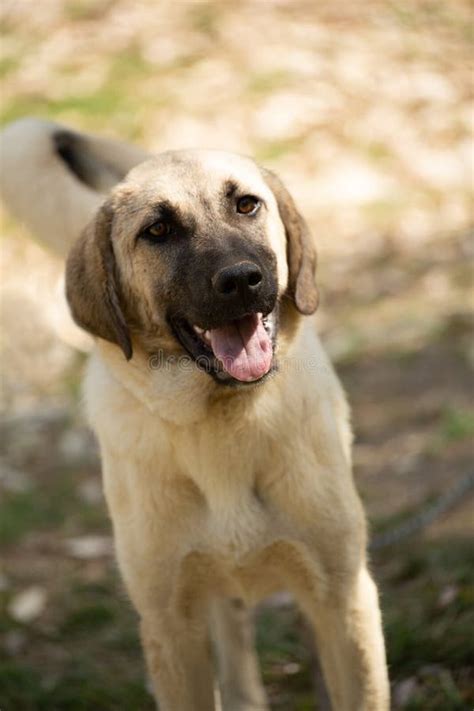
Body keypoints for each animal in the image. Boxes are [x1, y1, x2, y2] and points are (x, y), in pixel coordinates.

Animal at [0, 119, 388, 708]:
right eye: (157, 231)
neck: (220, 421)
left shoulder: (343, 599)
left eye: (247, 205)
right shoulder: (171, 627)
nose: (241, 279)